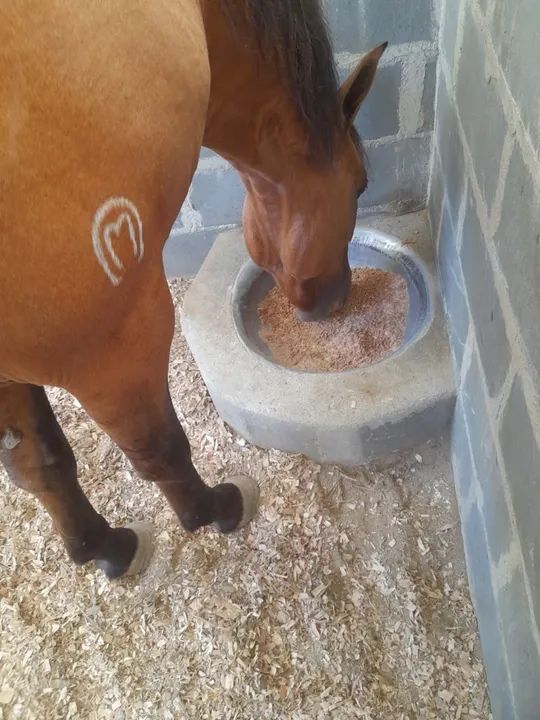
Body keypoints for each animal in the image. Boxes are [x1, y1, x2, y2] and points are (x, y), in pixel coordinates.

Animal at [0, 0, 385, 579]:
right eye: (359, 185)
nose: (337, 299)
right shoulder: (114, 345)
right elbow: (158, 448)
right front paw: (214, 510)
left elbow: (39, 464)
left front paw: (100, 546)